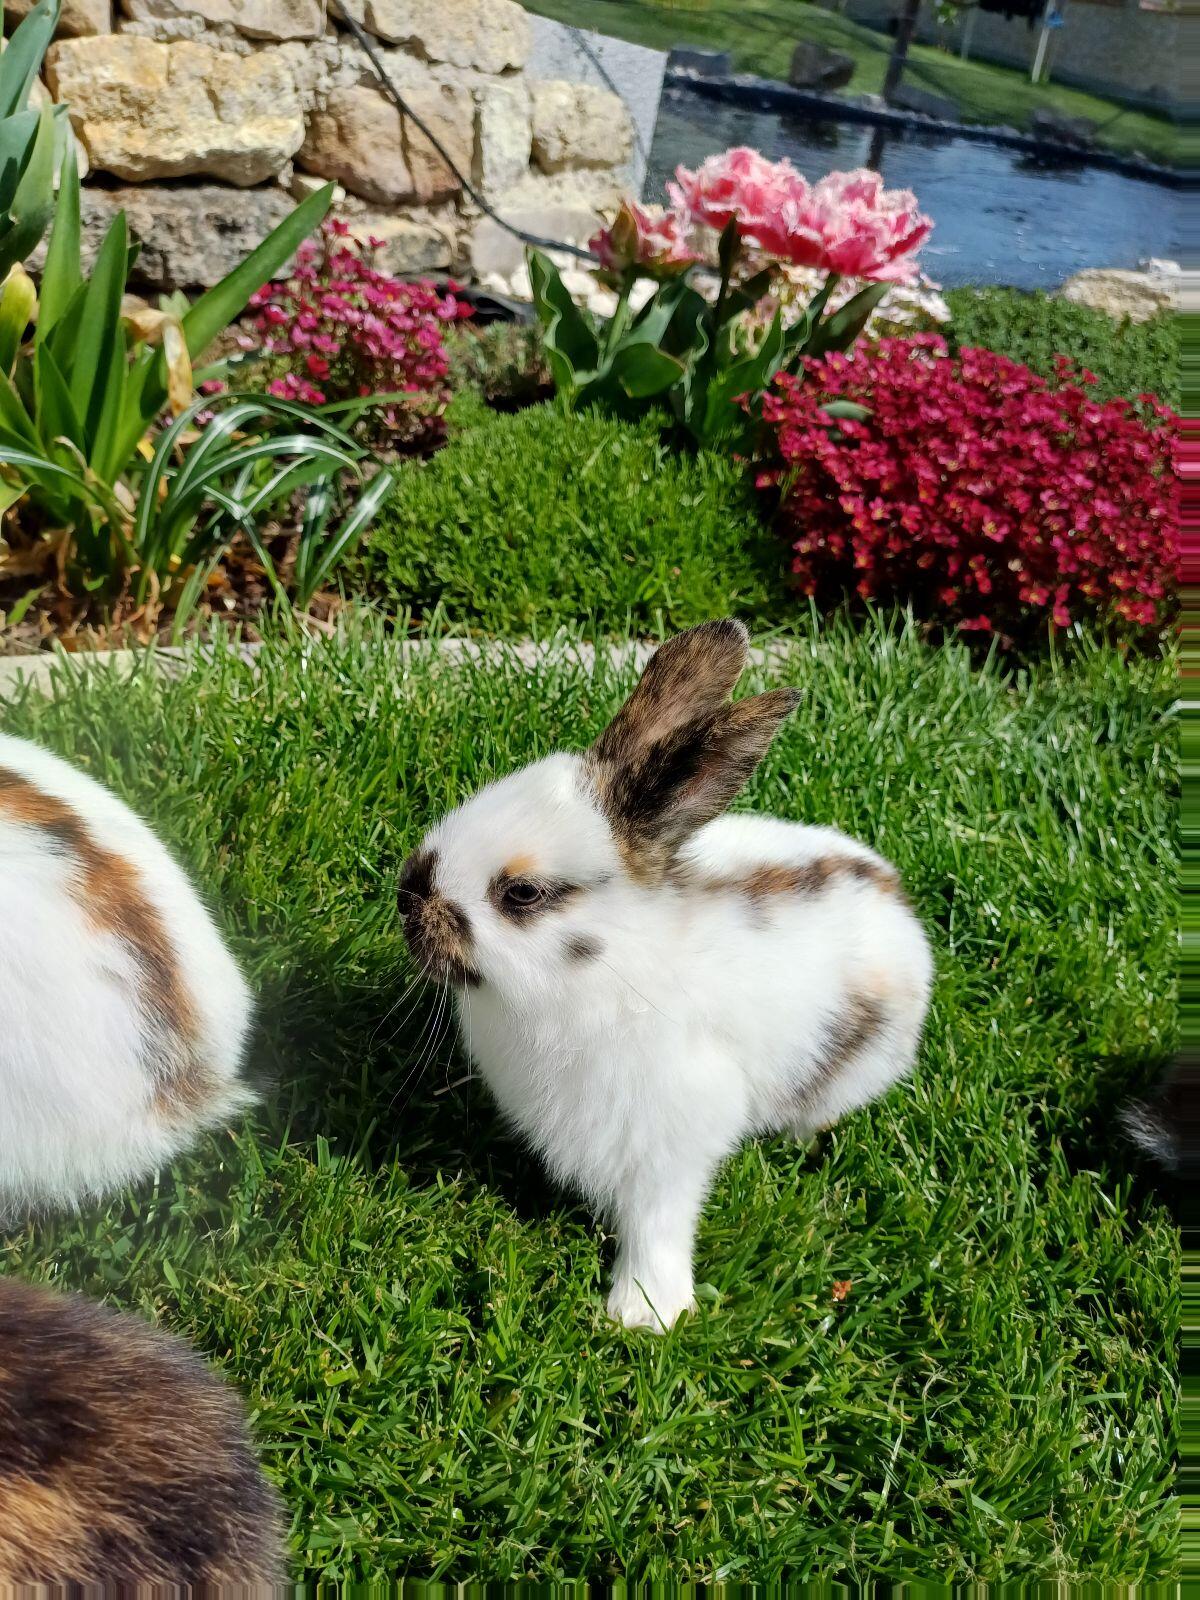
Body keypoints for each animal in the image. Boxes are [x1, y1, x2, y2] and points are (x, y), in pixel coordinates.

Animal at [397, 619, 933, 1330]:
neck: (615, 965)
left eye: (522, 894)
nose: (407, 896)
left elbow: (657, 1223)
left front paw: (643, 1315)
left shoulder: (670, 1141)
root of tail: (899, 903)